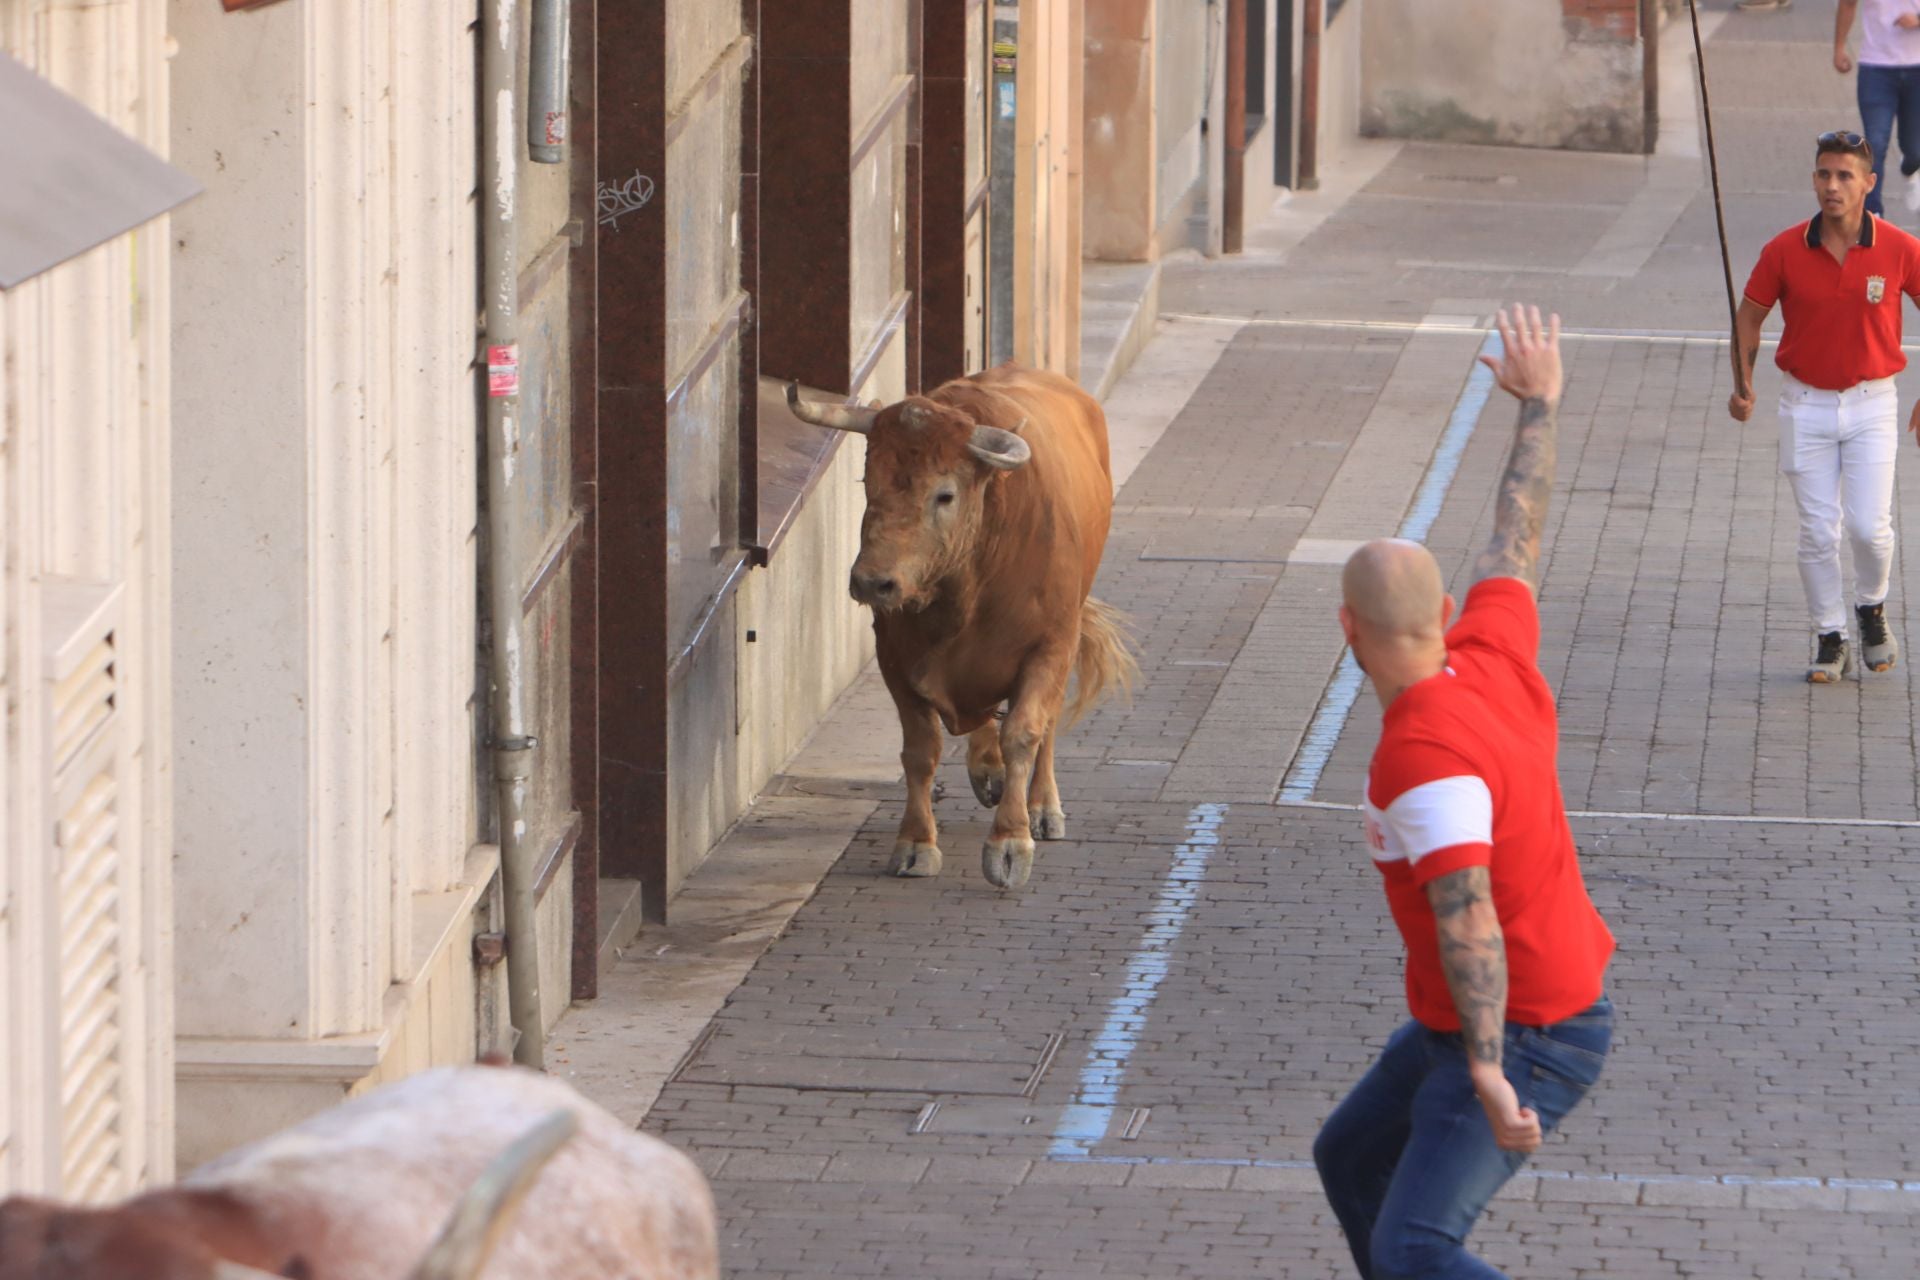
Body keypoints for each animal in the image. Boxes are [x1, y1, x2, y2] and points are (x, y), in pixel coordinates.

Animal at [787, 364, 1128, 886]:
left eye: (944, 493)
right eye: (868, 482)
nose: (872, 582)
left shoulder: (1050, 645)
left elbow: (1024, 732)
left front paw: (1010, 841)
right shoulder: (894, 659)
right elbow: (920, 750)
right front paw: (915, 842)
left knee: (1045, 724)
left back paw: (1042, 806)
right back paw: (987, 769)